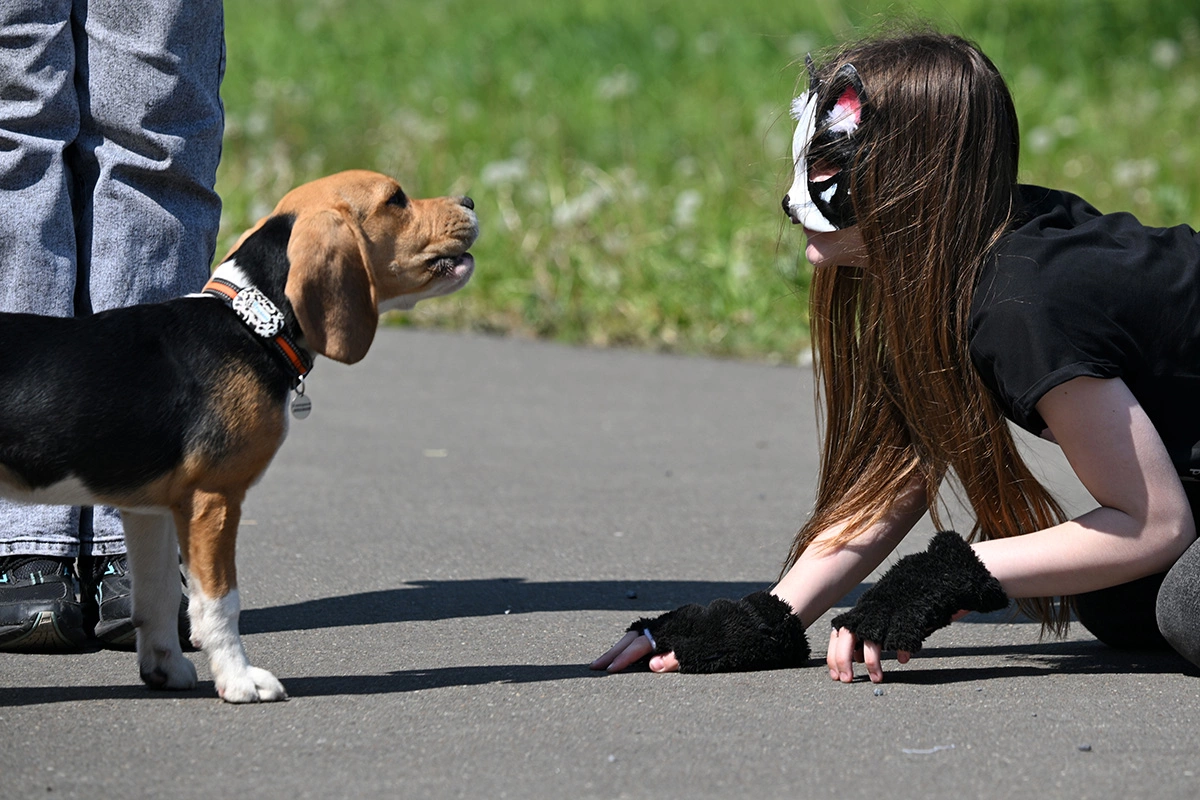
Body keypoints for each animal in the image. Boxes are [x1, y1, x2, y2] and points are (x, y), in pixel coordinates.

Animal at [0, 170, 477, 700]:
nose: (470, 201)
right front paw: (239, 678)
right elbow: (220, 602)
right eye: (396, 199)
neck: (252, 322)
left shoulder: (150, 511)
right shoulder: (214, 498)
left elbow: (158, 597)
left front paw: (165, 668)